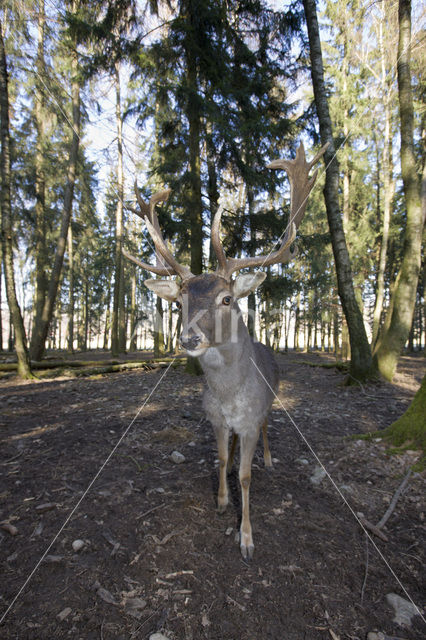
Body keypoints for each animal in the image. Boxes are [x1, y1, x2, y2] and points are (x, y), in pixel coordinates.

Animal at [122, 142, 326, 556]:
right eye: (179, 301)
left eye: (228, 299)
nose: (189, 339)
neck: (230, 395)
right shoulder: (215, 418)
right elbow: (217, 456)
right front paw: (220, 500)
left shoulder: (249, 418)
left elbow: (247, 476)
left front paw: (246, 537)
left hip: (270, 402)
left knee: (267, 427)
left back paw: (269, 458)